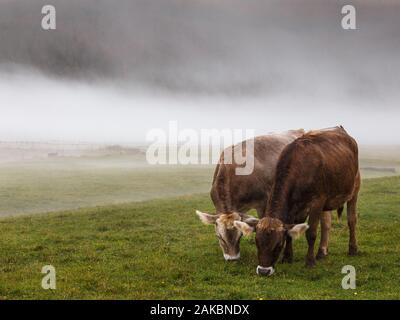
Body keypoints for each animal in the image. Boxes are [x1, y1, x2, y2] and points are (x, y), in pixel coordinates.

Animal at [195, 129, 332, 262]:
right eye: (219, 236)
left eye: (240, 235)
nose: (232, 259)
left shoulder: (264, 202)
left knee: (325, 220)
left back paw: (322, 251)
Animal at [236, 125, 360, 276]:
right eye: (257, 242)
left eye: (278, 245)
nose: (264, 271)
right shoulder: (295, 207)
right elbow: (291, 231)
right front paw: (287, 257)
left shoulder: (317, 202)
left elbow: (311, 233)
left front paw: (310, 261)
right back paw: (321, 253)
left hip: (354, 188)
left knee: (351, 220)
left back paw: (352, 249)